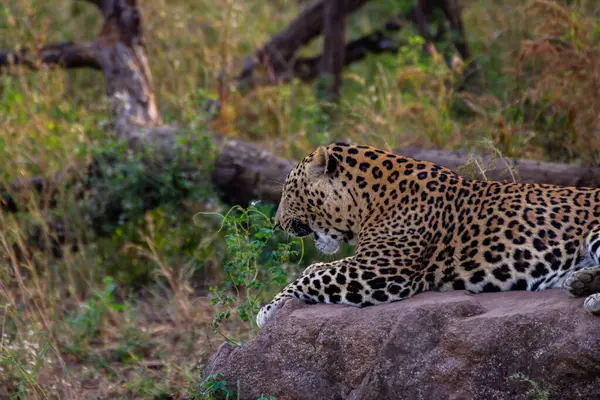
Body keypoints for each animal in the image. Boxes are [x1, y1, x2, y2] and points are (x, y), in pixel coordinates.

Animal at [255, 144, 600, 328]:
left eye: (289, 191)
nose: (278, 222)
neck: (368, 201)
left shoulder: (378, 272)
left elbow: (310, 275)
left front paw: (267, 310)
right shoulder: (365, 263)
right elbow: (315, 267)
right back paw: (581, 281)